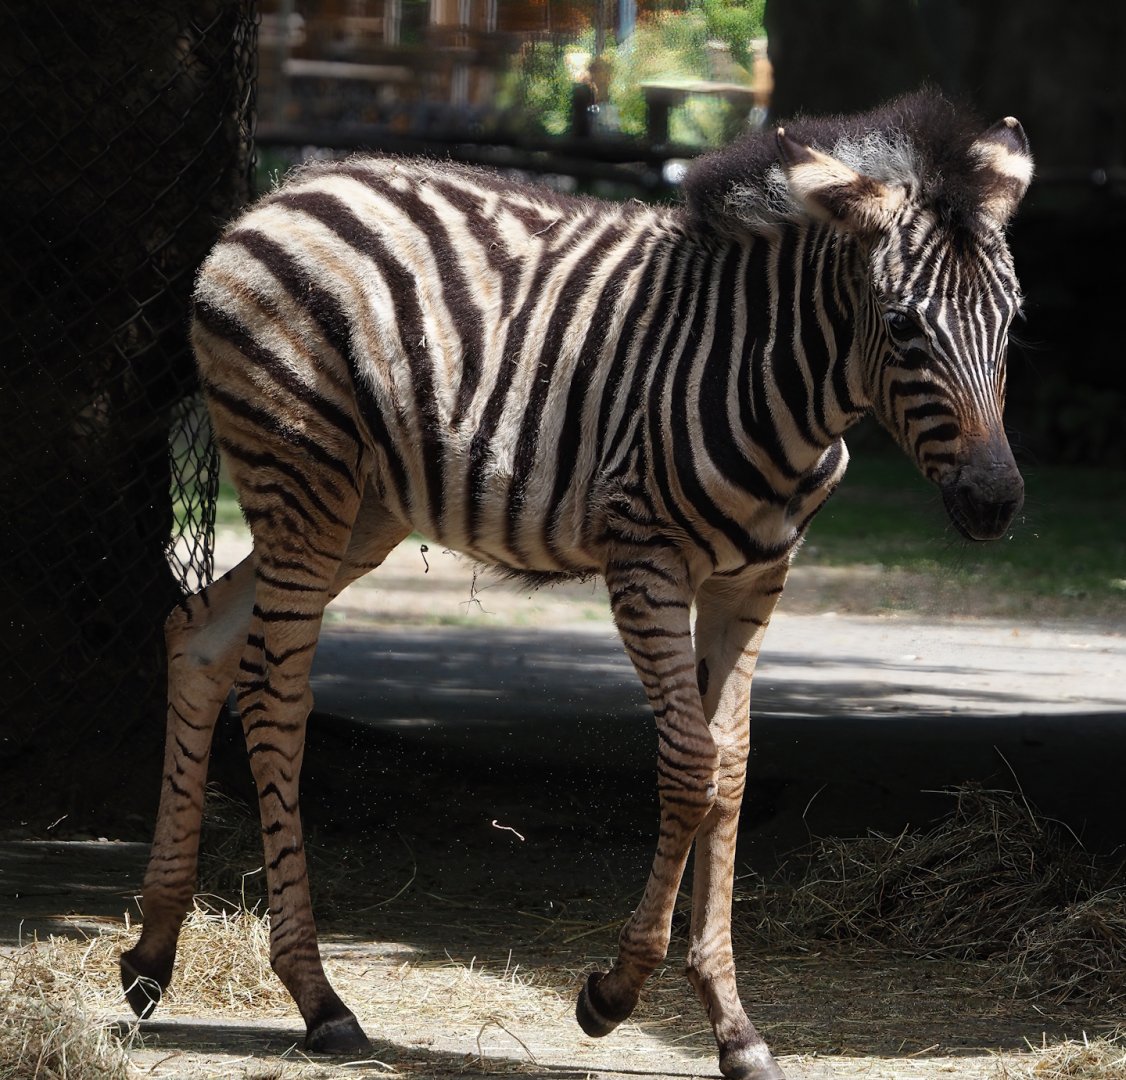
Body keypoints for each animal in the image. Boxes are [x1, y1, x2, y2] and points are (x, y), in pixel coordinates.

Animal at [120, 90, 1031, 1080]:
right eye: (903, 326)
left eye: (1014, 321)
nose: (995, 504)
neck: (775, 378)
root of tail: (281, 193)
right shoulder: (646, 562)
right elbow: (691, 767)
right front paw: (612, 994)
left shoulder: (755, 580)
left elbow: (735, 768)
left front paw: (735, 1028)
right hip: (303, 476)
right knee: (274, 692)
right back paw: (318, 999)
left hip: (361, 509)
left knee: (197, 638)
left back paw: (151, 955)